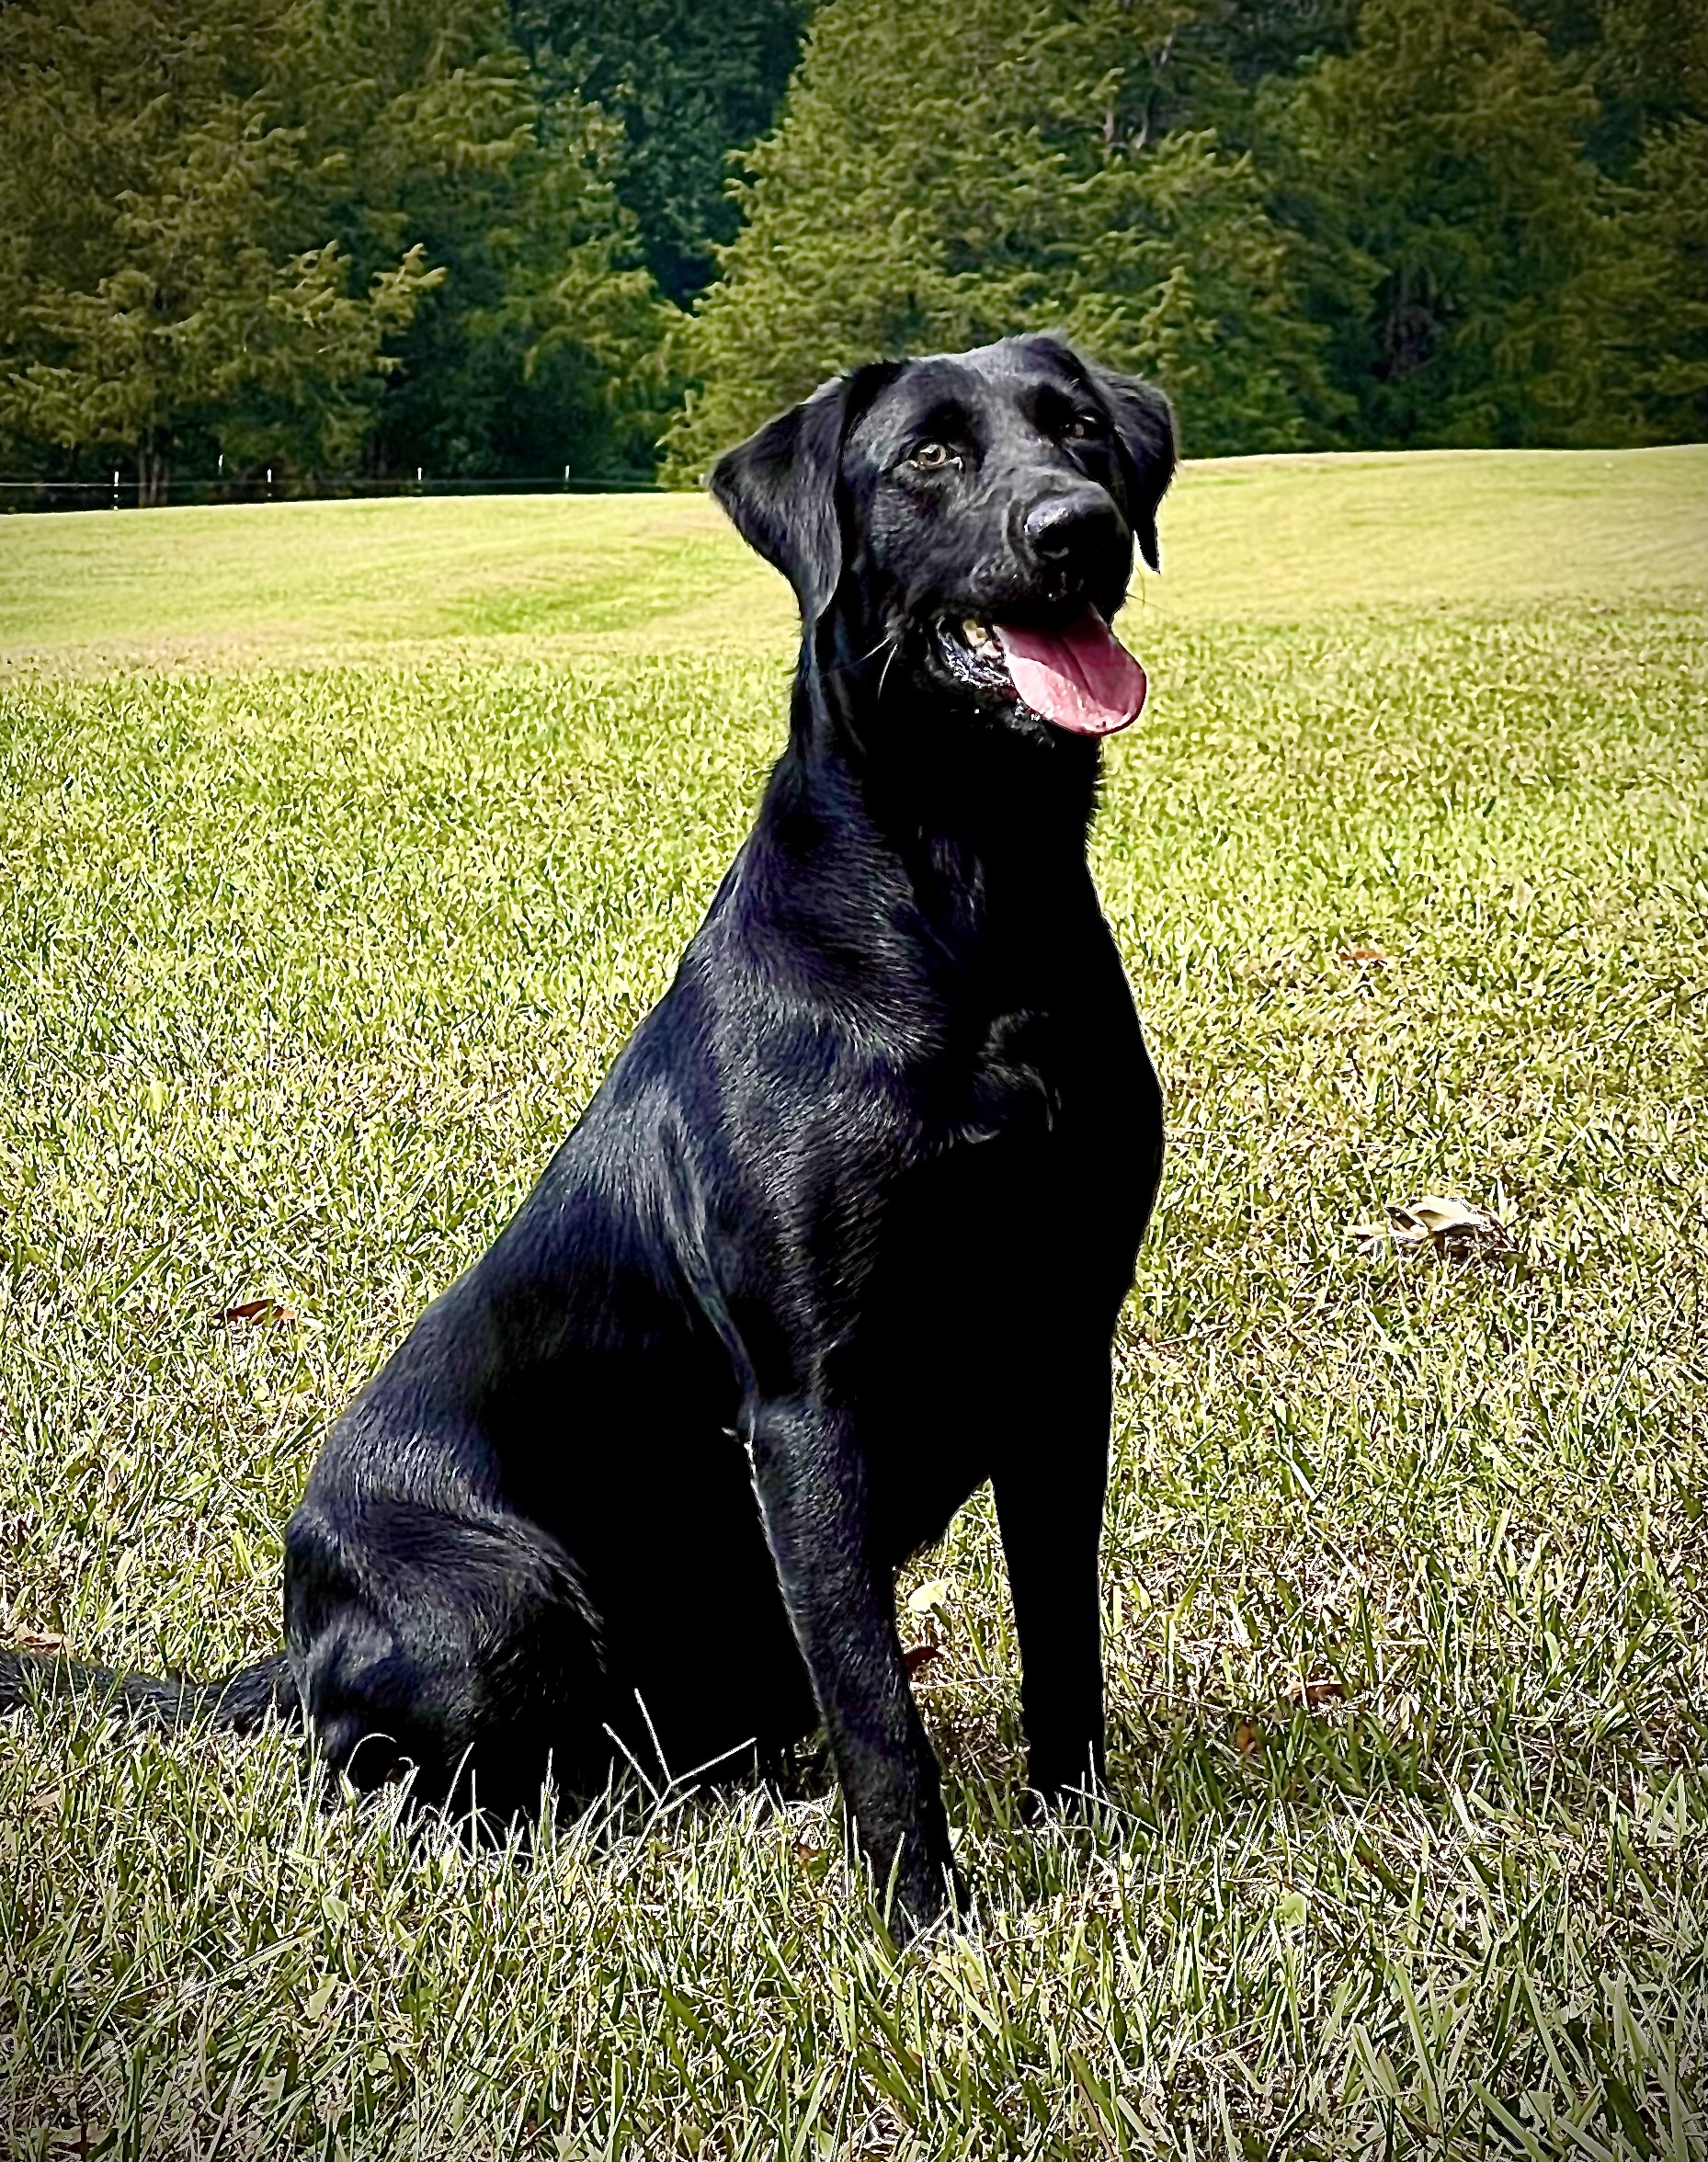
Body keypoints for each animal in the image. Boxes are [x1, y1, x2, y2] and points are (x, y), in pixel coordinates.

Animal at [0, 336, 1167, 1945]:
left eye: (1079, 430)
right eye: (926, 456)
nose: (1078, 529)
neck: (971, 893)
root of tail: (286, 1651)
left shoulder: (1061, 1355)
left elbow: (1064, 1634)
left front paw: (1080, 1837)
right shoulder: (809, 1404)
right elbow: (878, 1703)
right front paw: (926, 1924)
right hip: (500, 1600)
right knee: (397, 1782)